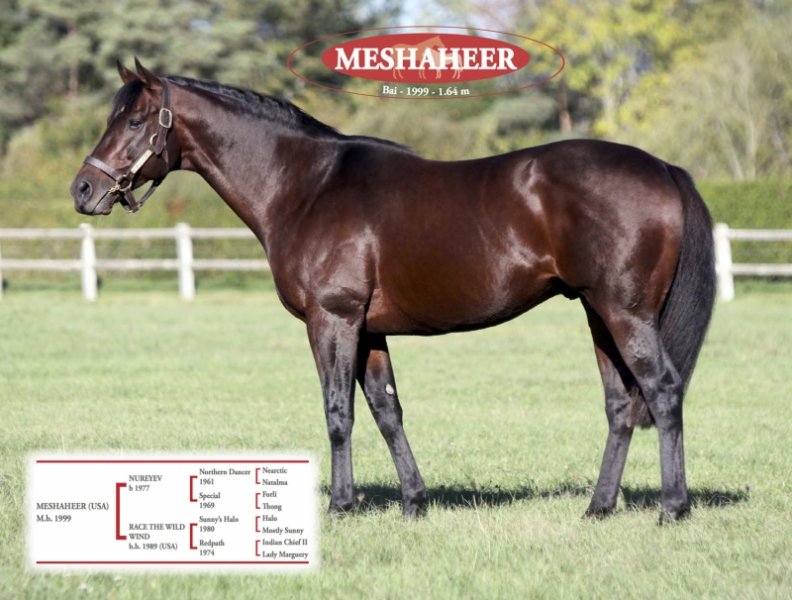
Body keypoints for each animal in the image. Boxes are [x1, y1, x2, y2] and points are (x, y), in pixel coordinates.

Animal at [71, 59, 716, 523]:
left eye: (134, 122)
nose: (83, 190)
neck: (306, 186)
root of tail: (664, 169)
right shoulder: (370, 329)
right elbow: (387, 410)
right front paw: (413, 501)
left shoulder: (332, 320)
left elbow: (338, 411)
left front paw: (341, 505)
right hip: (598, 315)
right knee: (620, 404)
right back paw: (598, 508)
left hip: (626, 315)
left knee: (662, 392)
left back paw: (672, 508)